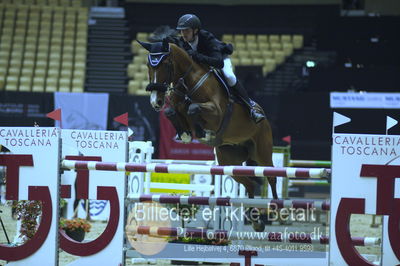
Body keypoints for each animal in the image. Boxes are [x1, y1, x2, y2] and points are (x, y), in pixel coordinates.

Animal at [138, 39, 278, 223]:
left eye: (166, 64)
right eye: (148, 65)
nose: (156, 101)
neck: (188, 83)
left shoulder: (216, 113)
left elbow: (194, 108)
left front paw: (203, 133)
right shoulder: (177, 109)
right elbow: (170, 112)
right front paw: (184, 135)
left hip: (262, 152)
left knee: (271, 176)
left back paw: (276, 211)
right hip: (228, 162)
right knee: (249, 183)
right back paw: (254, 218)